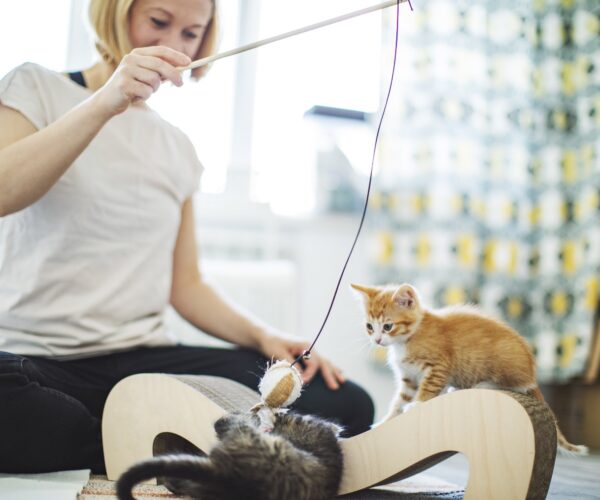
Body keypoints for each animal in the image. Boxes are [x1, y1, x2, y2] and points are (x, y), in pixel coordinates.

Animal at [350, 284, 588, 456]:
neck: (408, 337)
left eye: (388, 326)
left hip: (505, 363)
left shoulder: (438, 366)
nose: (377, 340)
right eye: (369, 326)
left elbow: (427, 388)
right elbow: (399, 401)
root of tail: (531, 372)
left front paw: (418, 403)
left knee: (515, 385)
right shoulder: (409, 377)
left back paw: (483, 384)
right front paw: (385, 421)